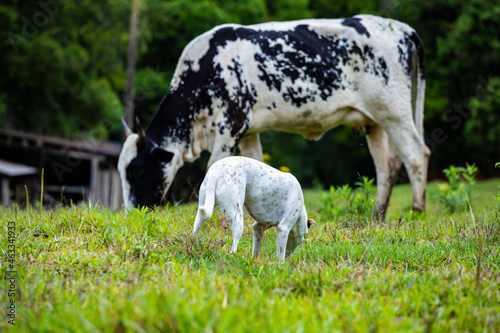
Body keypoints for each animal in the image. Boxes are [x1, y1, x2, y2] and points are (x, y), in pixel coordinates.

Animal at [117, 14, 430, 218]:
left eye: (137, 170)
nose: (133, 213)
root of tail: (401, 28)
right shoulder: (248, 131)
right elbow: (254, 165)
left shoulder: (230, 126)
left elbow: (214, 167)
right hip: (373, 120)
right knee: (387, 165)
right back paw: (377, 215)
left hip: (394, 112)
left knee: (416, 153)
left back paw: (417, 211)